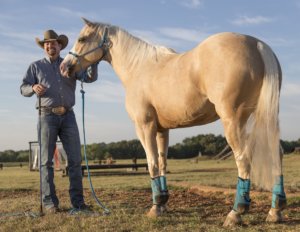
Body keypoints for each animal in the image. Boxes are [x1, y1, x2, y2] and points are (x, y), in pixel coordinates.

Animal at [60, 19, 286, 227]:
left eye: (82, 39)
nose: (64, 67)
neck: (138, 68)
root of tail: (257, 44)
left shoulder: (144, 126)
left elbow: (151, 163)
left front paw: (155, 207)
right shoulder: (162, 130)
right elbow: (162, 163)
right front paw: (163, 203)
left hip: (233, 120)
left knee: (243, 159)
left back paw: (236, 213)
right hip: (265, 118)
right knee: (277, 154)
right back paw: (275, 211)